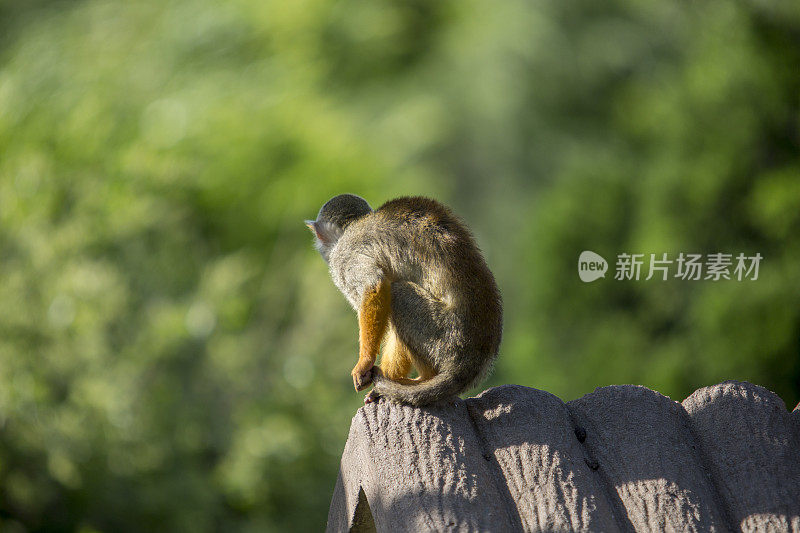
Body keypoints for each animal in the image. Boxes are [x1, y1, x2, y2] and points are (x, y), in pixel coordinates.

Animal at [304, 193, 500, 406]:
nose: (319, 246)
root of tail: (476, 360)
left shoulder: (344, 255)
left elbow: (375, 286)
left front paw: (365, 362)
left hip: (448, 337)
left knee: (398, 292)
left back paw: (424, 379)